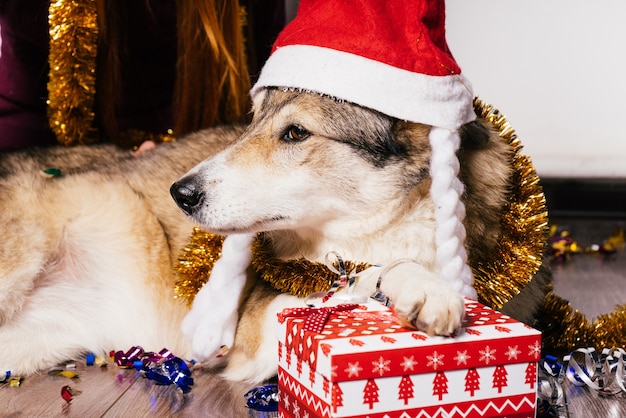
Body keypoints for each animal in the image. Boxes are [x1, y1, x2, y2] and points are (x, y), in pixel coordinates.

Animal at [0, 88, 544, 382]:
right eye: (252, 122)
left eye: (296, 133)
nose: (181, 193)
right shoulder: (251, 326)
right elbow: (361, 274)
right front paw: (423, 287)